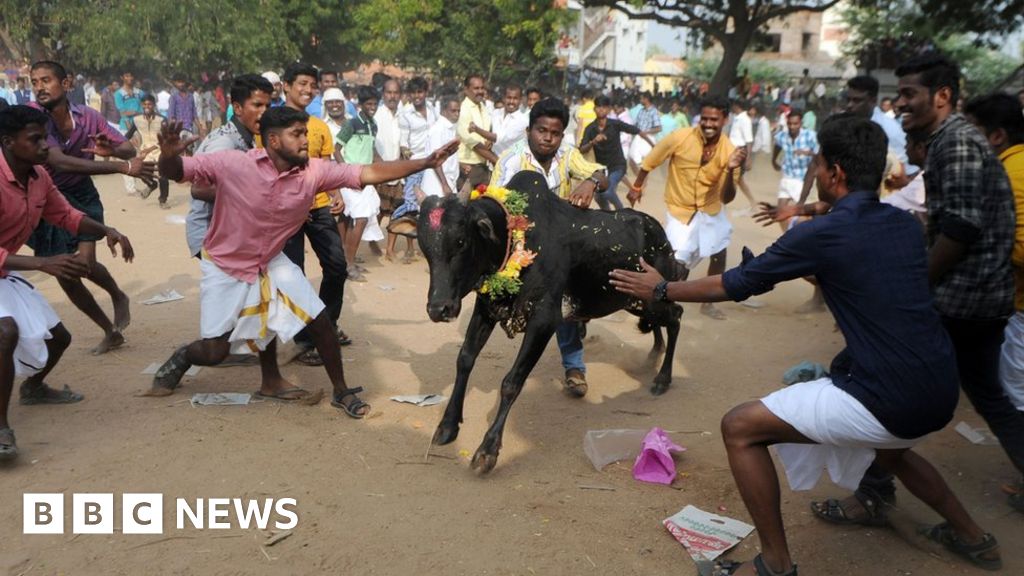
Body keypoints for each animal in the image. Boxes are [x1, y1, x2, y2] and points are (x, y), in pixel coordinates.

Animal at [415, 171, 679, 471]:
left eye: (460, 241)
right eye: (424, 245)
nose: (439, 308)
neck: (514, 236)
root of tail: (657, 231)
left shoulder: (543, 322)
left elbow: (511, 382)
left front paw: (487, 450)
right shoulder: (485, 309)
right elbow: (464, 360)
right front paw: (448, 425)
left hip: (652, 297)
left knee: (676, 316)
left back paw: (662, 378)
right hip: (636, 303)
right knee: (662, 323)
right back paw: (654, 354)